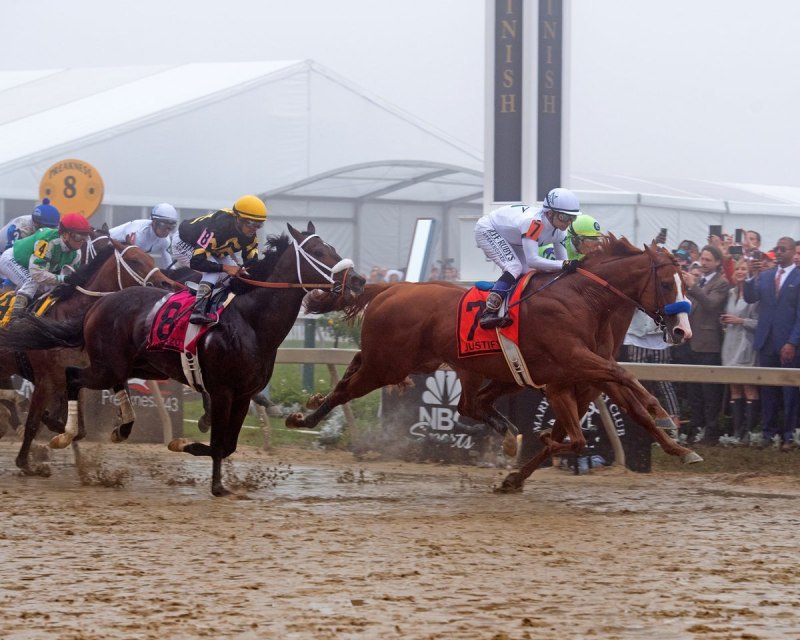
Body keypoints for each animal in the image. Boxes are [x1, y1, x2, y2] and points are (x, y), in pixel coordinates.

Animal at [0, 238, 178, 472]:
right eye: (134, 260)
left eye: (151, 258)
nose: (167, 284)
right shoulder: (46, 380)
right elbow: (34, 423)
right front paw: (26, 464)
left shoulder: (82, 375)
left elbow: (78, 428)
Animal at [288, 238, 700, 488]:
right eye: (667, 284)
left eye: (689, 284)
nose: (682, 331)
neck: (584, 300)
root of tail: (391, 287)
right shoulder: (570, 368)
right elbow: (616, 387)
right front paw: (663, 412)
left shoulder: (582, 375)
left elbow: (624, 408)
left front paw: (680, 446)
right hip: (388, 366)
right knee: (347, 389)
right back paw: (303, 418)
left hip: (423, 362)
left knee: (464, 403)